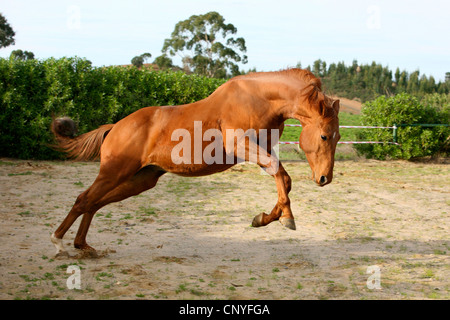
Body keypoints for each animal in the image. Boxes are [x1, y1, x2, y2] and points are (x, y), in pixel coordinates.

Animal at [49, 69, 340, 256]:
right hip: (114, 173)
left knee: (94, 203)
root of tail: (114, 127)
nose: (325, 178)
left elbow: (284, 180)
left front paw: (265, 218)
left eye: (338, 136)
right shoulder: (241, 147)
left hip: (140, 180)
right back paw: (59, 243)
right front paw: (286, 218)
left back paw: (83, 246)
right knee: (84, 199)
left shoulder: (263, 151)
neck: (259, 99)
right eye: (324, 136)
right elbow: (281, 177)